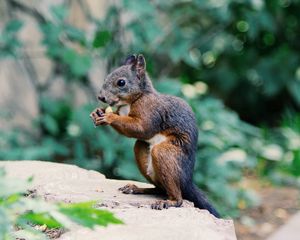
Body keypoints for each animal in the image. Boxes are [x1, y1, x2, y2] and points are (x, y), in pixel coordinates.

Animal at [90, 54, 219, 218]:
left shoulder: (150, 110)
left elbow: (142, 128)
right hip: (142, 151)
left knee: (177, 197)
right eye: (106, 77)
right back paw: (136, 189)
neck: (133, 100)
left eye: (121, 82)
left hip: (166, 153)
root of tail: (187, 181)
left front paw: (109, 117)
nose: (101, 97)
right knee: (159, 188)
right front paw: (97, 112)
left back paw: (169, 202)